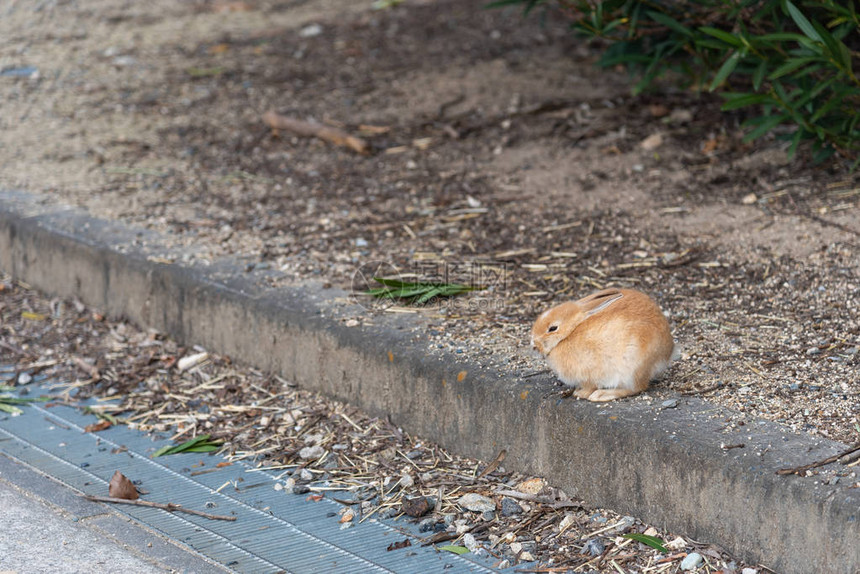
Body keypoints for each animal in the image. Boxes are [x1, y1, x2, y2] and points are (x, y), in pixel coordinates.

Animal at [536, 290, 676, 402]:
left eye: (552, 328)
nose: (535, 344)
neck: (569, 333)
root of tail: (667, 352)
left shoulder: (590, 374)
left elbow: (589, 386)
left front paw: (580, 393)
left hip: (632, 367)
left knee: (636, 387)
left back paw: (600, 395)